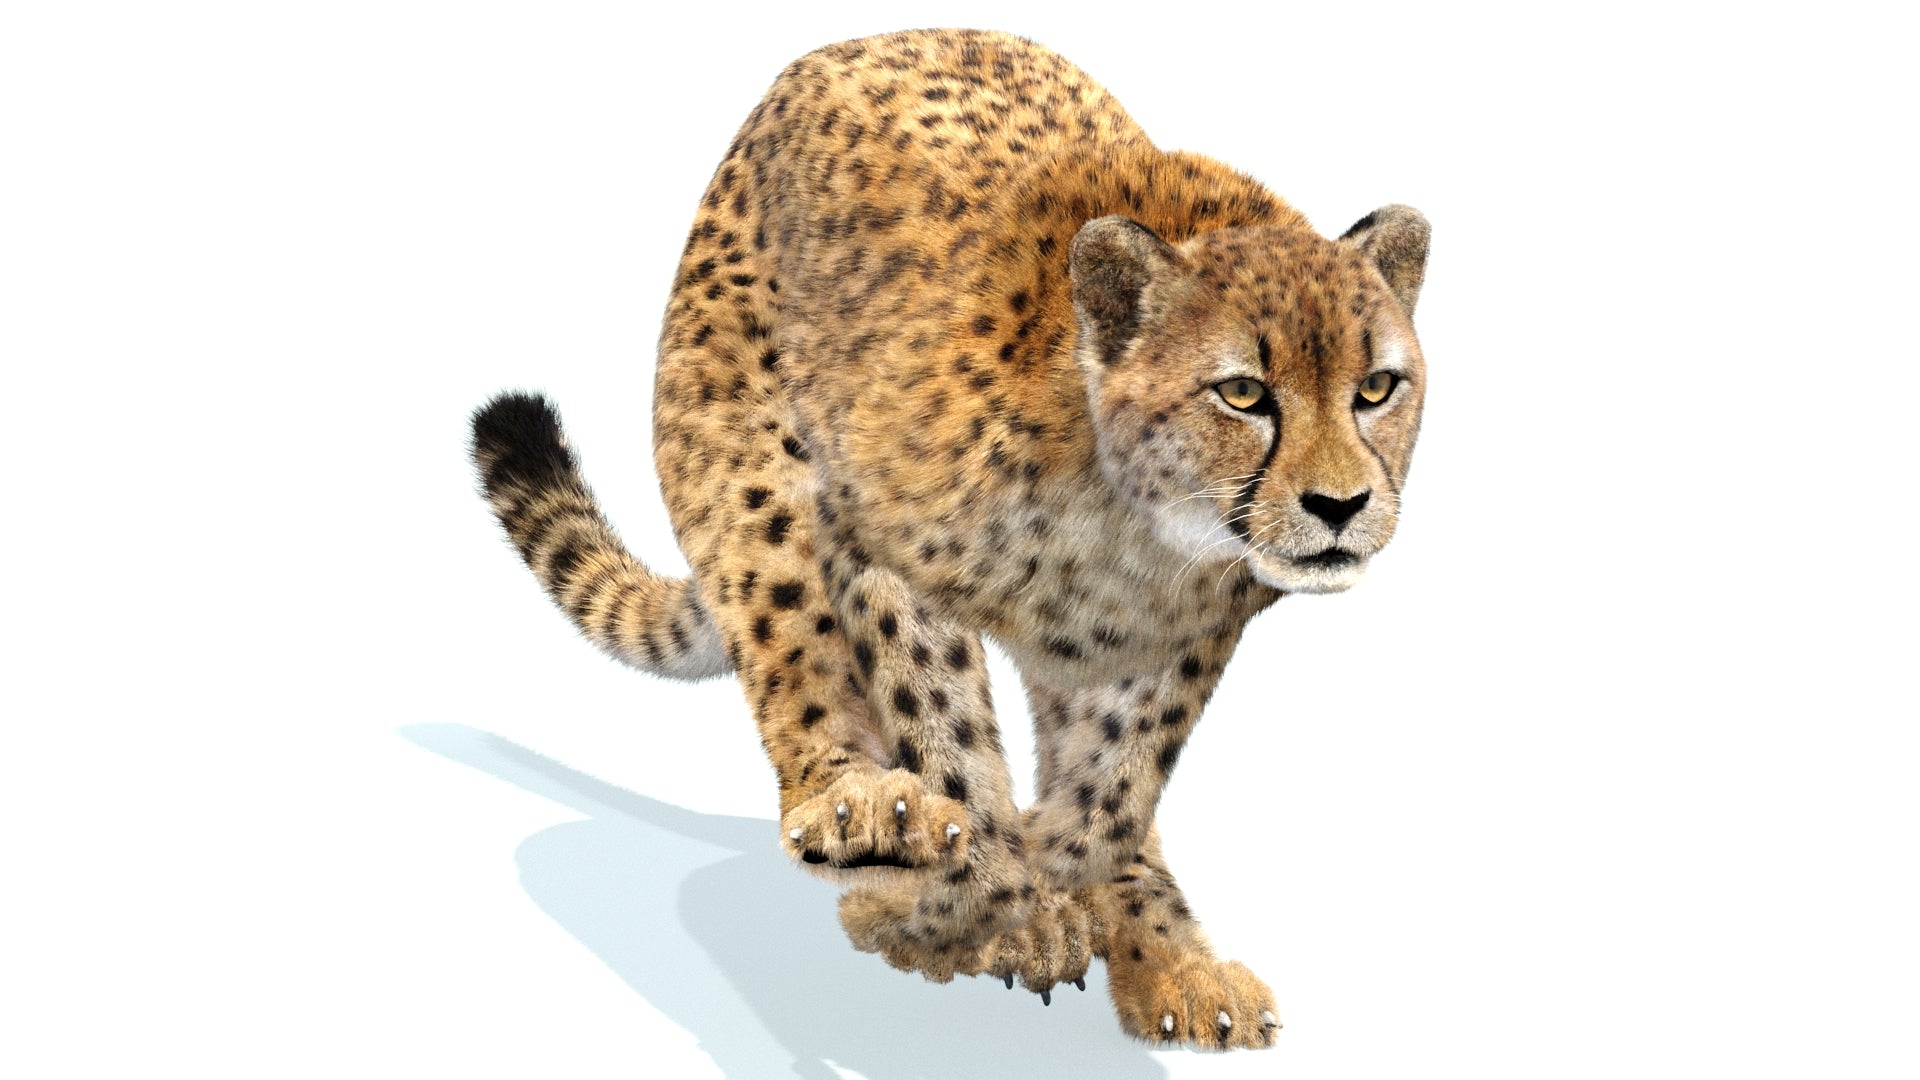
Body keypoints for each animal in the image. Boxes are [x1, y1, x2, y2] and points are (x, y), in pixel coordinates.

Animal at [469, 28, 1429, 1049]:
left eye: (1377, 387)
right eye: (1244, 392)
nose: (1341, 504)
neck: (1133, 528)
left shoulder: (1180, 632)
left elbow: (1116, 791)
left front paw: (1108, 913)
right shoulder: (872, 548)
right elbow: (948, 735)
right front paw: (977, 906)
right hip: (756, 481)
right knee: (795, 659)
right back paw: (856, 806)